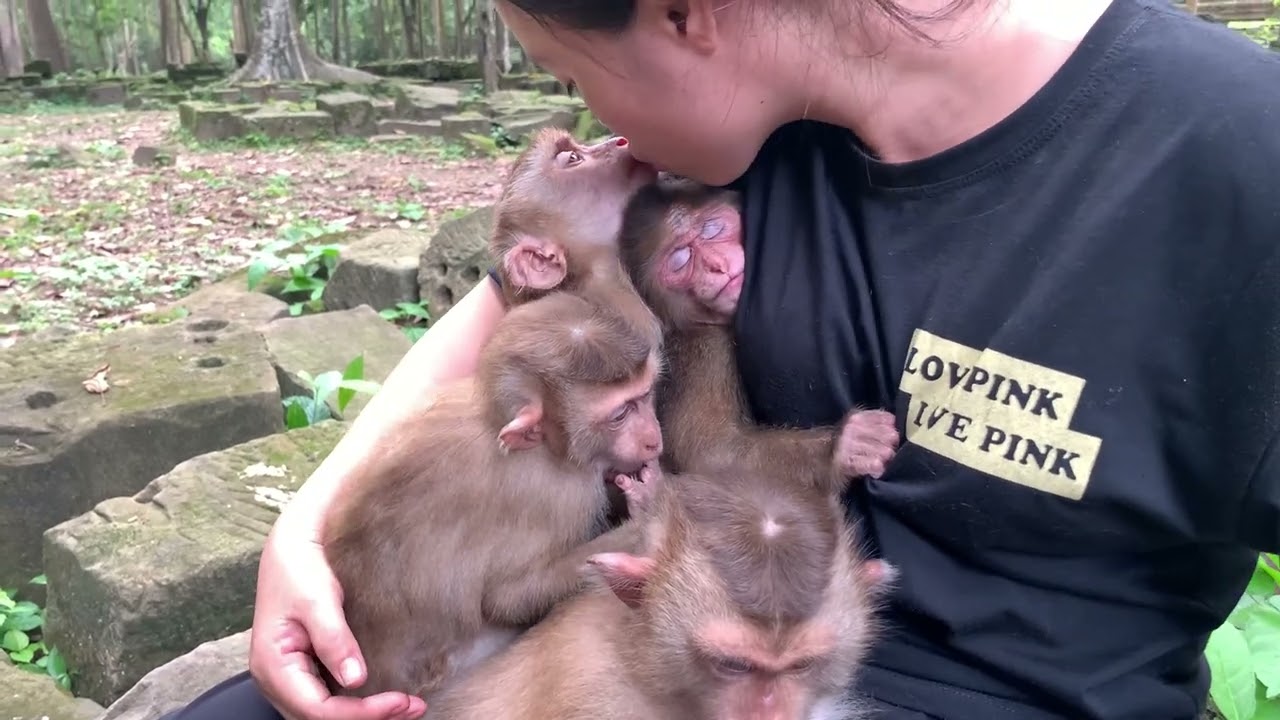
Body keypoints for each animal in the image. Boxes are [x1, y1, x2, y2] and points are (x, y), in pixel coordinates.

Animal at [320, 289, 666, 704]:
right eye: (620, 415)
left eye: (644, 396)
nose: (654, 438)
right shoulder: (560, 497)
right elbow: (505, 598)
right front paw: (645, 517)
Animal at [617, 175, 901, 490]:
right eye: (680, 260)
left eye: (711, 229)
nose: (716, 265)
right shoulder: (705, 348)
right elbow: (709, 453)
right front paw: (840, 448)